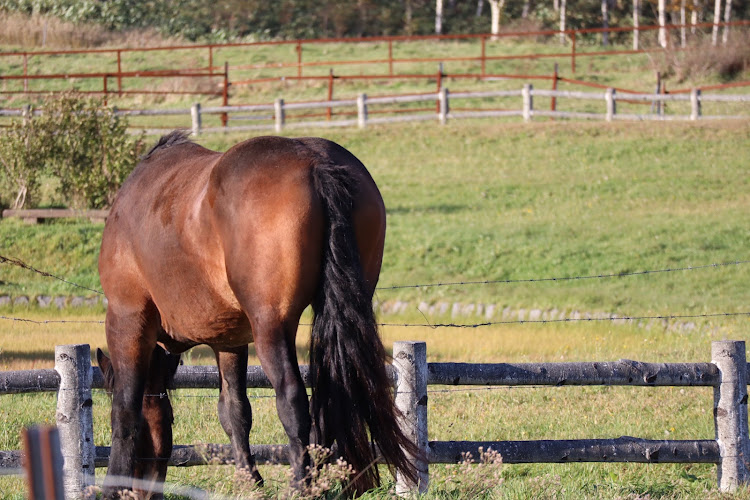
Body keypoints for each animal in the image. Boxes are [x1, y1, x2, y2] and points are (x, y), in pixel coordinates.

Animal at [97, 131, 420, 498]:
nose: (144, 491)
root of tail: (316, 162)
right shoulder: (229, 340)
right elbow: (234, 411)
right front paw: (249, 481)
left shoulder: (127, 319)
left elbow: (125, 410)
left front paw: (112, 485)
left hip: (271, 327)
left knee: (293, 398)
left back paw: (300, 485)